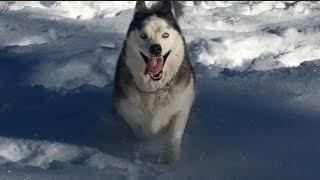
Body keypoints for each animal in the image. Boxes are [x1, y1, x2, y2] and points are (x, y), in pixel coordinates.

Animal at [112, 0, 195, 163]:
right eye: (143, 36)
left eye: (165, 35)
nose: (156, 48)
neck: (154, 88)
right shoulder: (128, 110)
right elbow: (142, 133)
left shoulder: (181, 107)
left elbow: (173, 136)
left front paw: (171, 161)